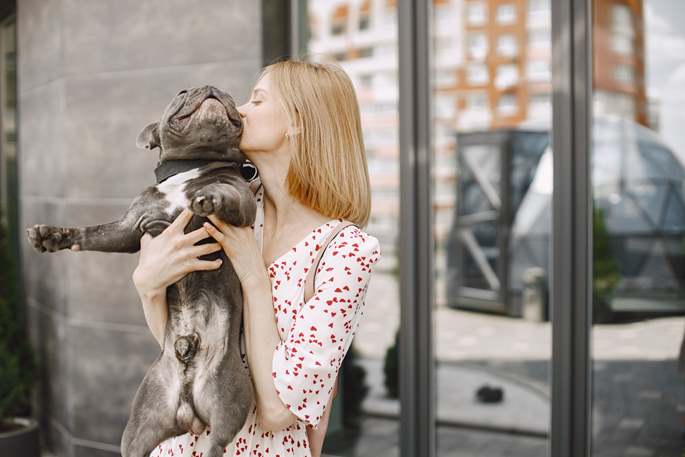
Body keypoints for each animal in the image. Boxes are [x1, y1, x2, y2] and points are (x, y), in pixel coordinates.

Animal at [25, 85, 256, 456]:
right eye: (181, 92)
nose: (210, 87)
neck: (190, 168)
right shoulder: (130, 228)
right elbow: (94, 232)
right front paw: (54, 236)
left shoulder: (242, 199)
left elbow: (227, 194)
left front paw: (209, 197)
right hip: (143, 419)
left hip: (230, 395)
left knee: (218, 442)